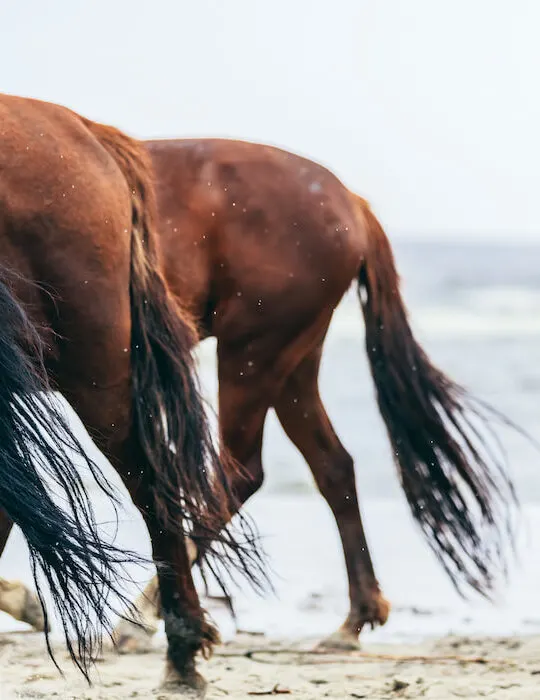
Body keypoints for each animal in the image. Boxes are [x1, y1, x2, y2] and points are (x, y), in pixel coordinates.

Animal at [108, 137, 516, 652]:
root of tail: (352, 203)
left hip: (252, 352)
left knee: (241, 473)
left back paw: (141, 615)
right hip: (293, 363)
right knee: (333, 466)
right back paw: (355, 618)